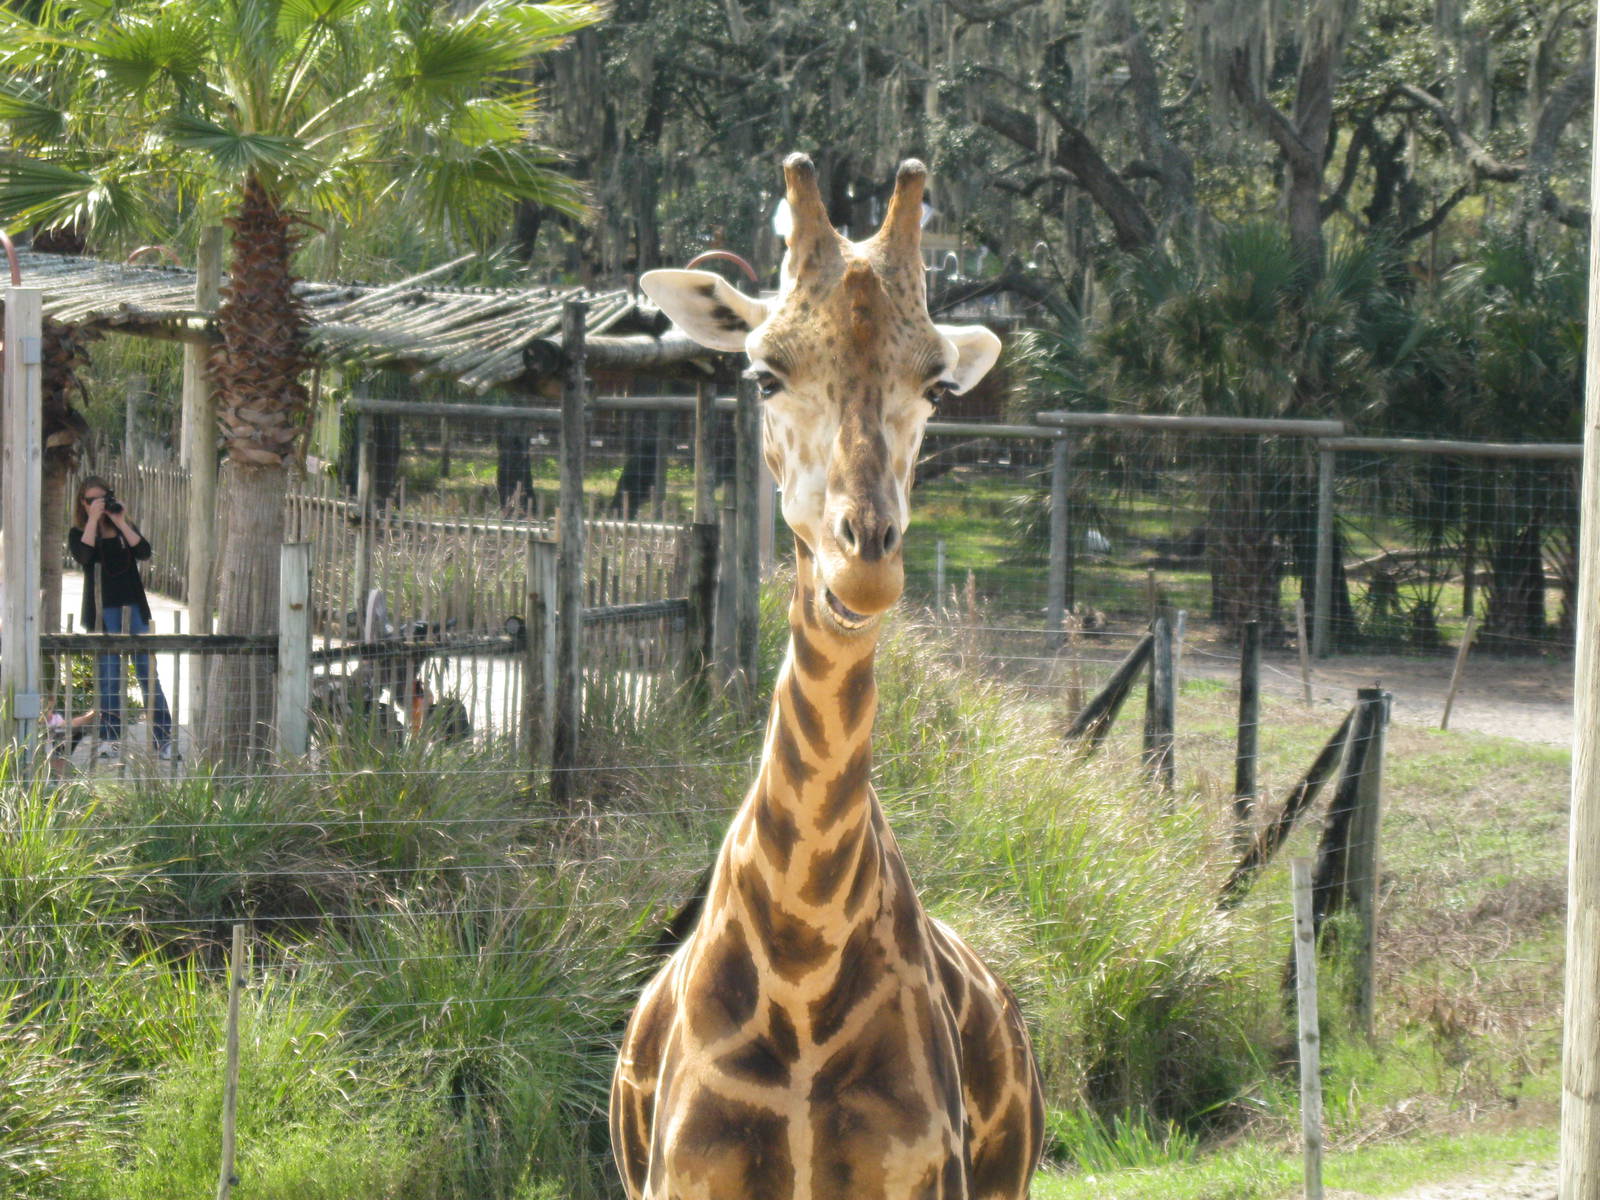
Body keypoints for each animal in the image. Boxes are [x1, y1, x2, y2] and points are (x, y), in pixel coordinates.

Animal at [611, 154, 1046, 1200]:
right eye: (764, 374)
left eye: (936, 386)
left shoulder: (928, 1178)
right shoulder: (681, 1179)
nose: (867, 566)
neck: (803, 964)